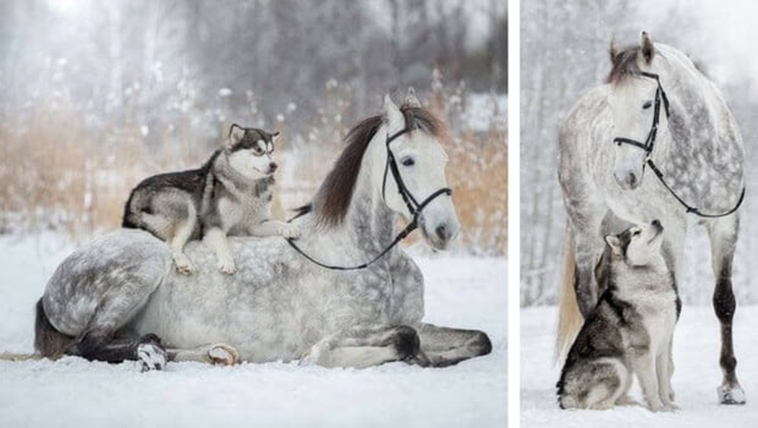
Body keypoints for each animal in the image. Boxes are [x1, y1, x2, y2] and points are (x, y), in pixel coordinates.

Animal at [33, 90, 492, 371]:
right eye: (409, 160)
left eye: (444, 158)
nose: (445, 229)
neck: (360, 255)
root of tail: (52, 287)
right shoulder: (344, 329)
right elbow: (400, 341)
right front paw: (326, 356)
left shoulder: (417, 320)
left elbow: (477, 340)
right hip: (142, 268)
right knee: (88, 344)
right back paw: (155, 352)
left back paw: (205, 352)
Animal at [555, 32, 746, 405]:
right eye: (613, 105)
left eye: (647, 104)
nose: (625, 175)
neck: (702, 150)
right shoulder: (672, 229)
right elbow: (675, 302)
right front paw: (666, 385)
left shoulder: (725, 225)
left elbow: (724, 302)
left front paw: (731, 387)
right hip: (585, 224)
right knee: (585, 290)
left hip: (615, 226)